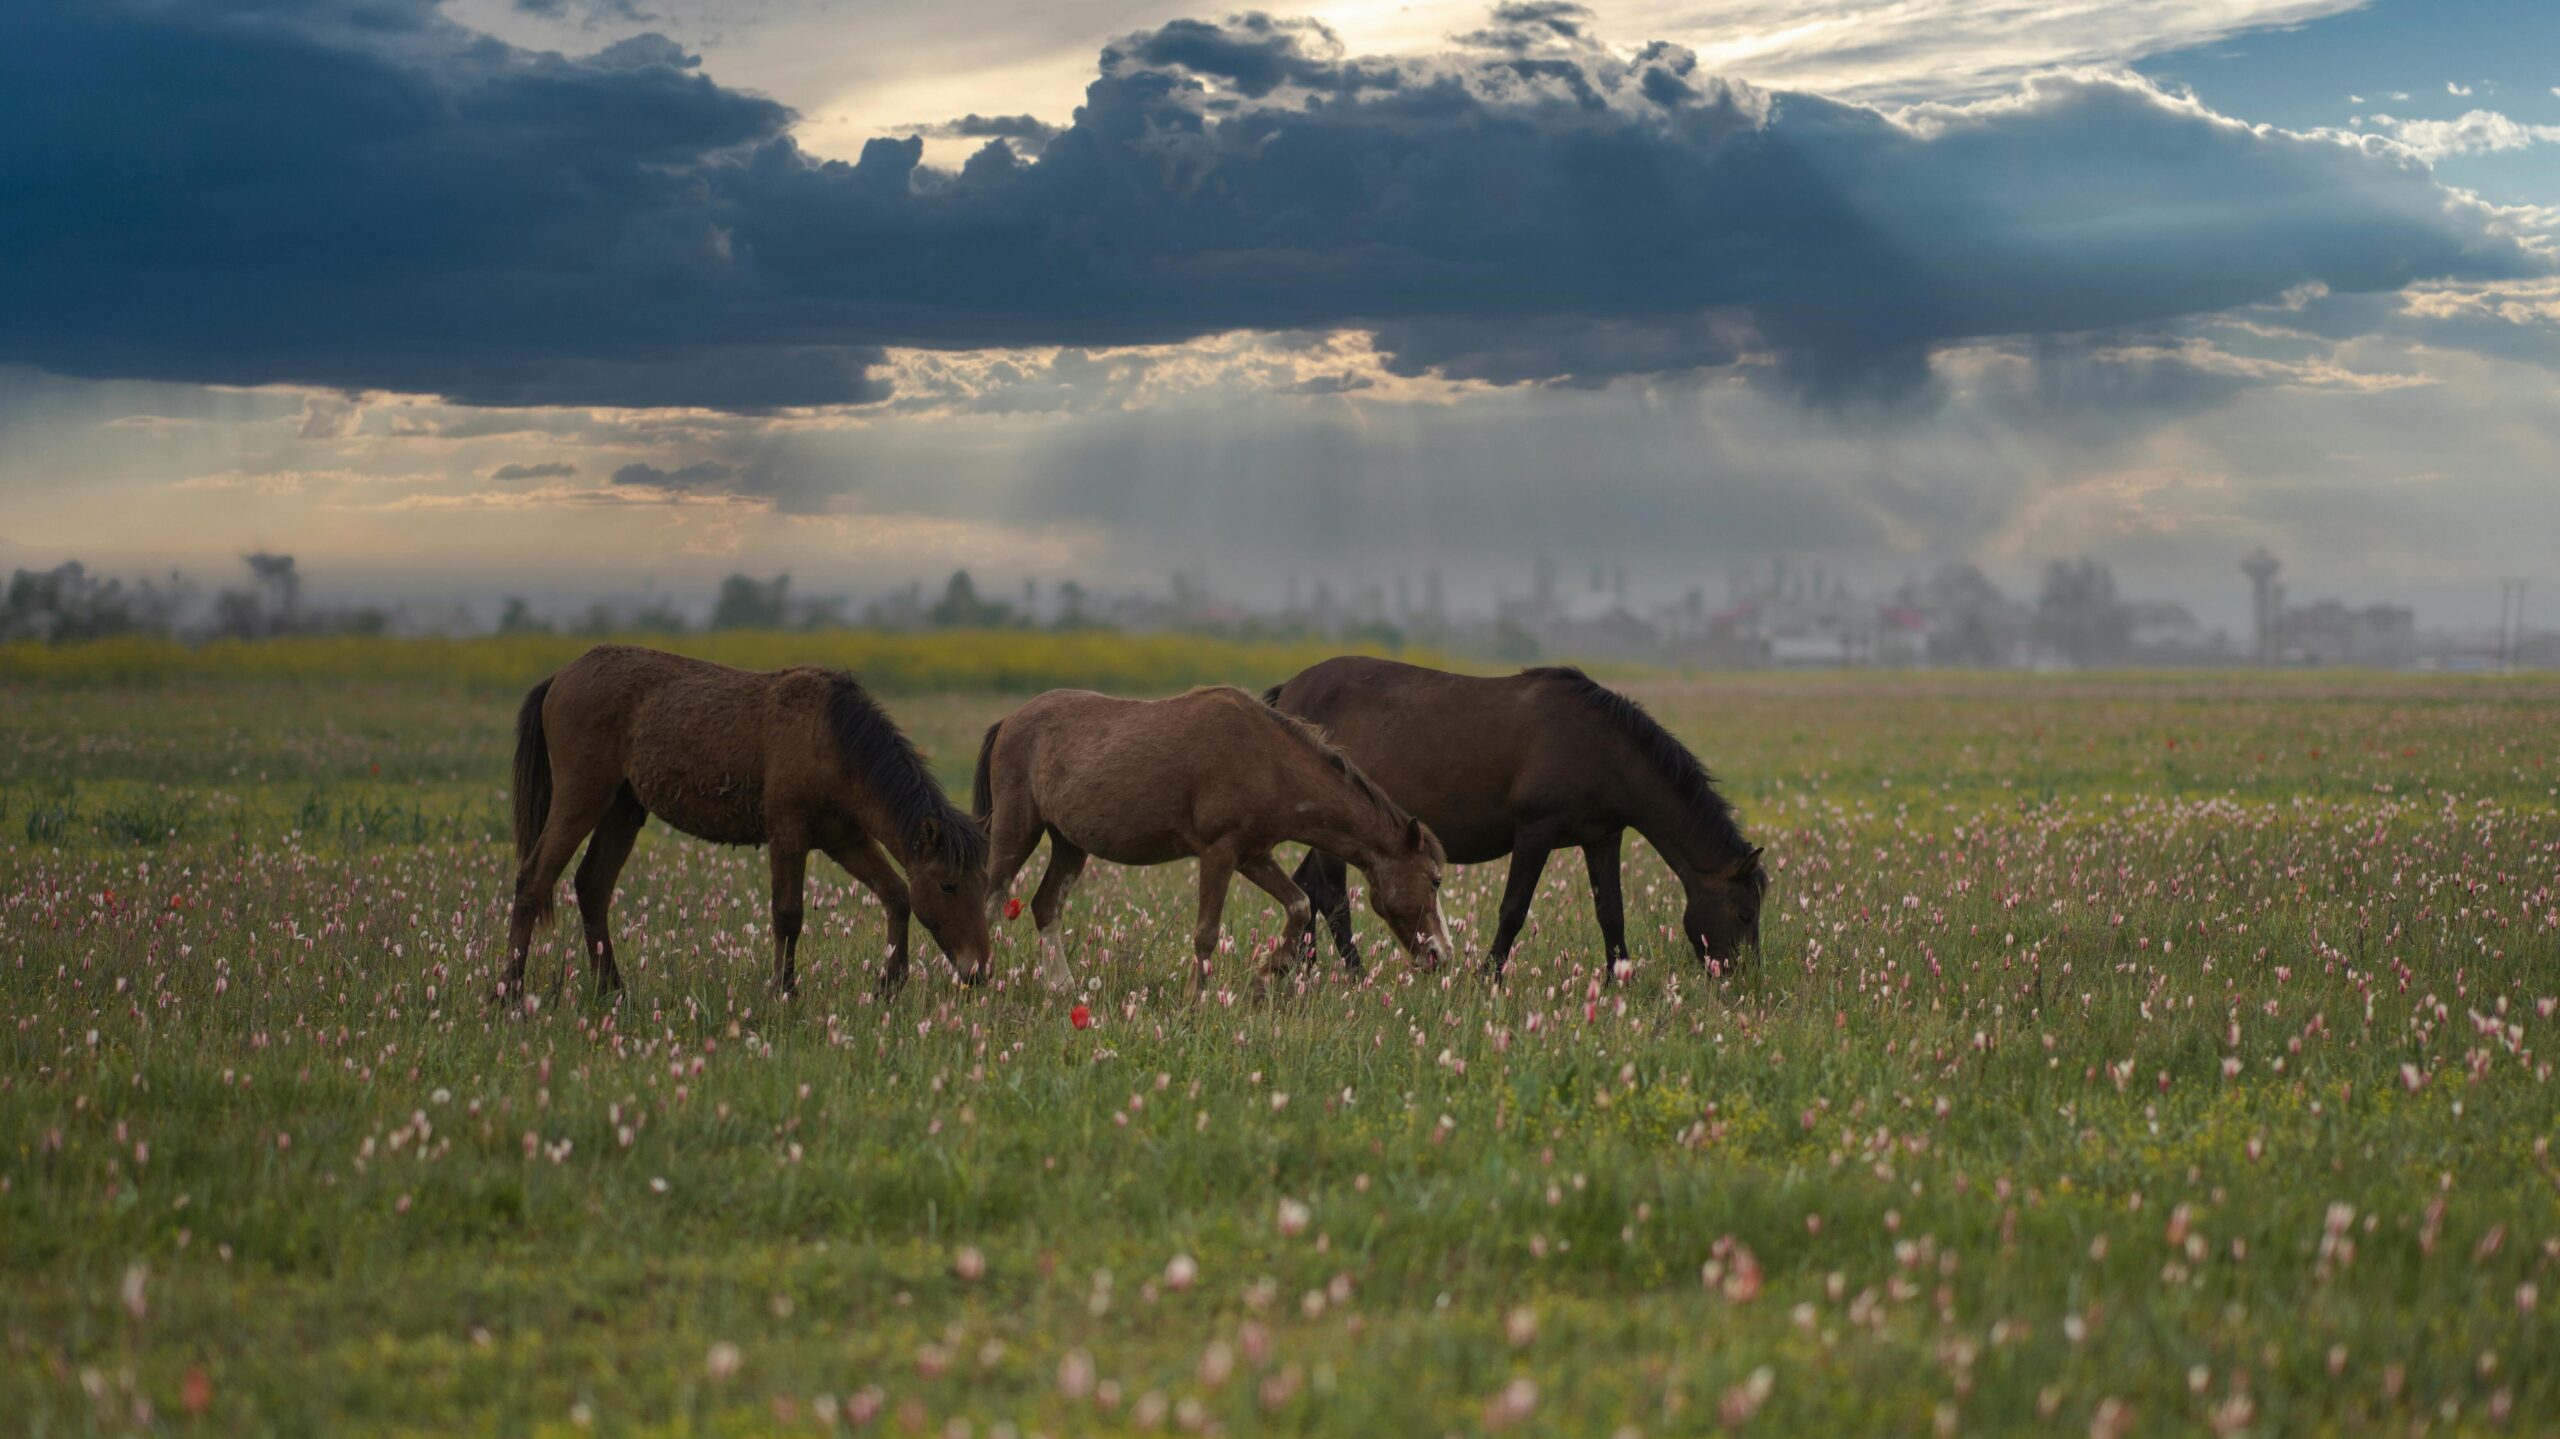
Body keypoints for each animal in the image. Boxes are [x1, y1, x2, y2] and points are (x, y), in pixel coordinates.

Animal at [499, 645, 988, 1003]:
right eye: (948, 885)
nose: (980, 971)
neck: (832, 740)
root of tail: (558, 678)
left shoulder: (846, 839)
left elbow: (897, 895)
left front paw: (889, 984)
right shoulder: (789, 837)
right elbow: (788, 915)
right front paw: (784, 992)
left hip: (623, 810)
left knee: (592, 886)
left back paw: (613, 991)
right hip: (581, 797)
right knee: (533, 880)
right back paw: (508, 993)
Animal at [967, 681, 1454, 983]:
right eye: (1434, 880)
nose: (1442, 954)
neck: (1269, 763)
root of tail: (1009, 720)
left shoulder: (1253, 855)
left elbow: (1298, 905)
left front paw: (1269, 973)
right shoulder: (1218, 853)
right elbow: (1206, 933)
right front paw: (1196, 1001)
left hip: (1069, 843)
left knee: (1046, 905)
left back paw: (1061, 988)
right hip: (1017, 830)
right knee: (988, 899)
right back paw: (975, 984)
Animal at [1259, 660, 1761, 972]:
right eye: (1744, 914)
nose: (1743, 976)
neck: (1602, 748)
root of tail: (1288, 691)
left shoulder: (1602, 837)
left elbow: (1611, 912)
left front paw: (1620, 977)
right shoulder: (1535, 833)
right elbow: (1513, 910)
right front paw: (1488, 976)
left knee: (1308, 889)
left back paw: (1304, 970)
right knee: (1333, 898)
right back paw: (1353, 974)